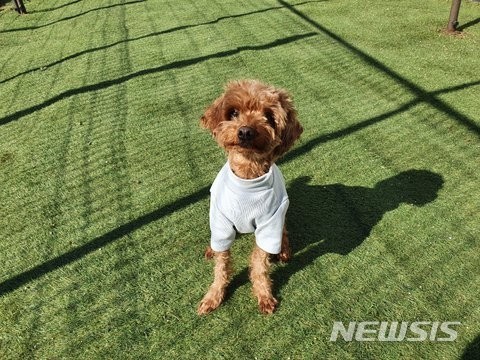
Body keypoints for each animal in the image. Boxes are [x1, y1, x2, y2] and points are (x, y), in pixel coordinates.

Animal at [197, 80, 302, 314]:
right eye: (233, 112)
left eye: (269, 117)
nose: (245, 131)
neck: (247, 179)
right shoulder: (221, 221)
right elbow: (221, 265)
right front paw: (213, 295)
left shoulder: (269, 223)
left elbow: (260, 264)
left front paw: (264, 294)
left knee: (284, 232)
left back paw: (284, 251)